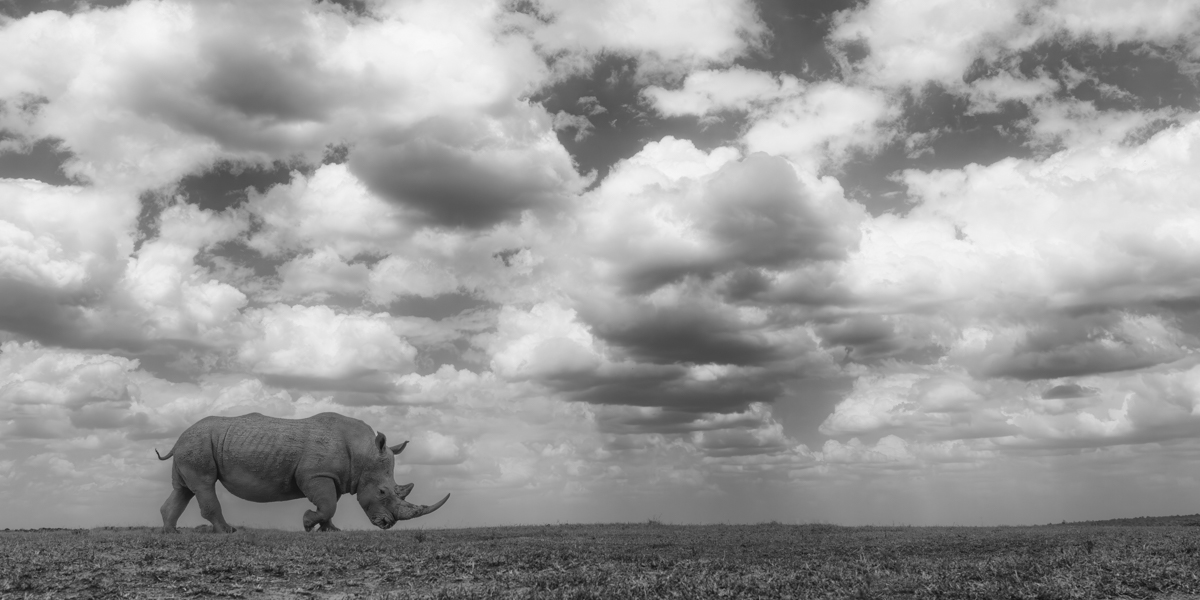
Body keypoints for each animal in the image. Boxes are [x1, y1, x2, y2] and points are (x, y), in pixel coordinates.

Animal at [155, 412, 449, 533]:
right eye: (382, 491)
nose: (388, 524)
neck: (363, 453)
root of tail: (178, 438)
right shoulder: (316, 474)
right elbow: (327, 504)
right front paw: (308, 523)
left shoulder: (333, 476)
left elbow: (330, 505)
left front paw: (331, 530)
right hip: (198, 443)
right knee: (204, 485)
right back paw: (227, 531)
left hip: (192, 443)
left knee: (183, 489)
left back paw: (171, 533)